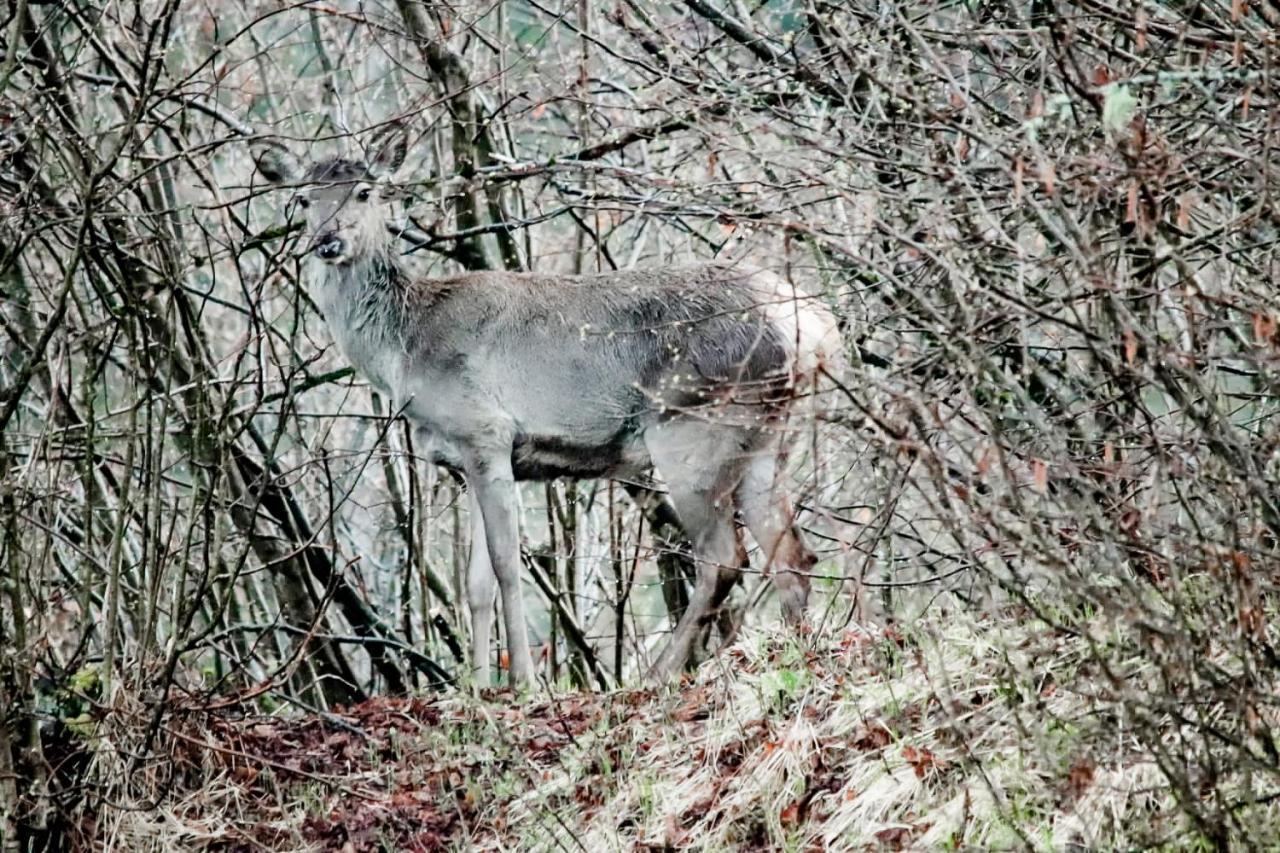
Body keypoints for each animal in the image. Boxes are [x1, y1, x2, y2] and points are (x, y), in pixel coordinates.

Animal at [253, 124, 844, 686]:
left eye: (364, 191)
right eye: (302, 198)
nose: (327, 241)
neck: (408, 352)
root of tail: (814, 326)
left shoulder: (486, 431)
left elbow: (507, 567)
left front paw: (524, 683)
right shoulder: (465, 460)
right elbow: (476, 584)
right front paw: (476, 688)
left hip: (694, 425)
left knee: (724, 558)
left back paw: (656, 675)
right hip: (770, 437)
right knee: (792, 553)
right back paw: (794, 656)